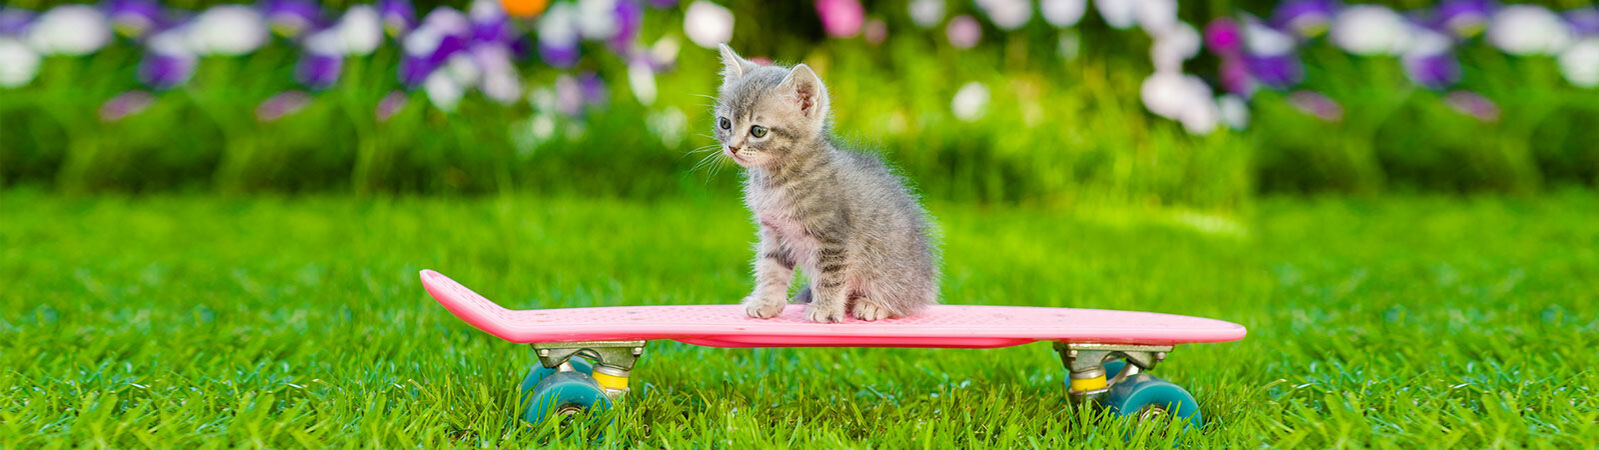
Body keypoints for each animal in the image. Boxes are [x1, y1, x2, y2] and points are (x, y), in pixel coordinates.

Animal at [713, 43, 933, 320]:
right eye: (725, 123)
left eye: (758, 131)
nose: (732, 147)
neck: (777, 180)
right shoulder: (775, 232)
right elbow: (771, 269)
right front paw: (767, 303)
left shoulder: (834, 237)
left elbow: (831, 276)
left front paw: (826, 309)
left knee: (904, 302)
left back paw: (873, 305)